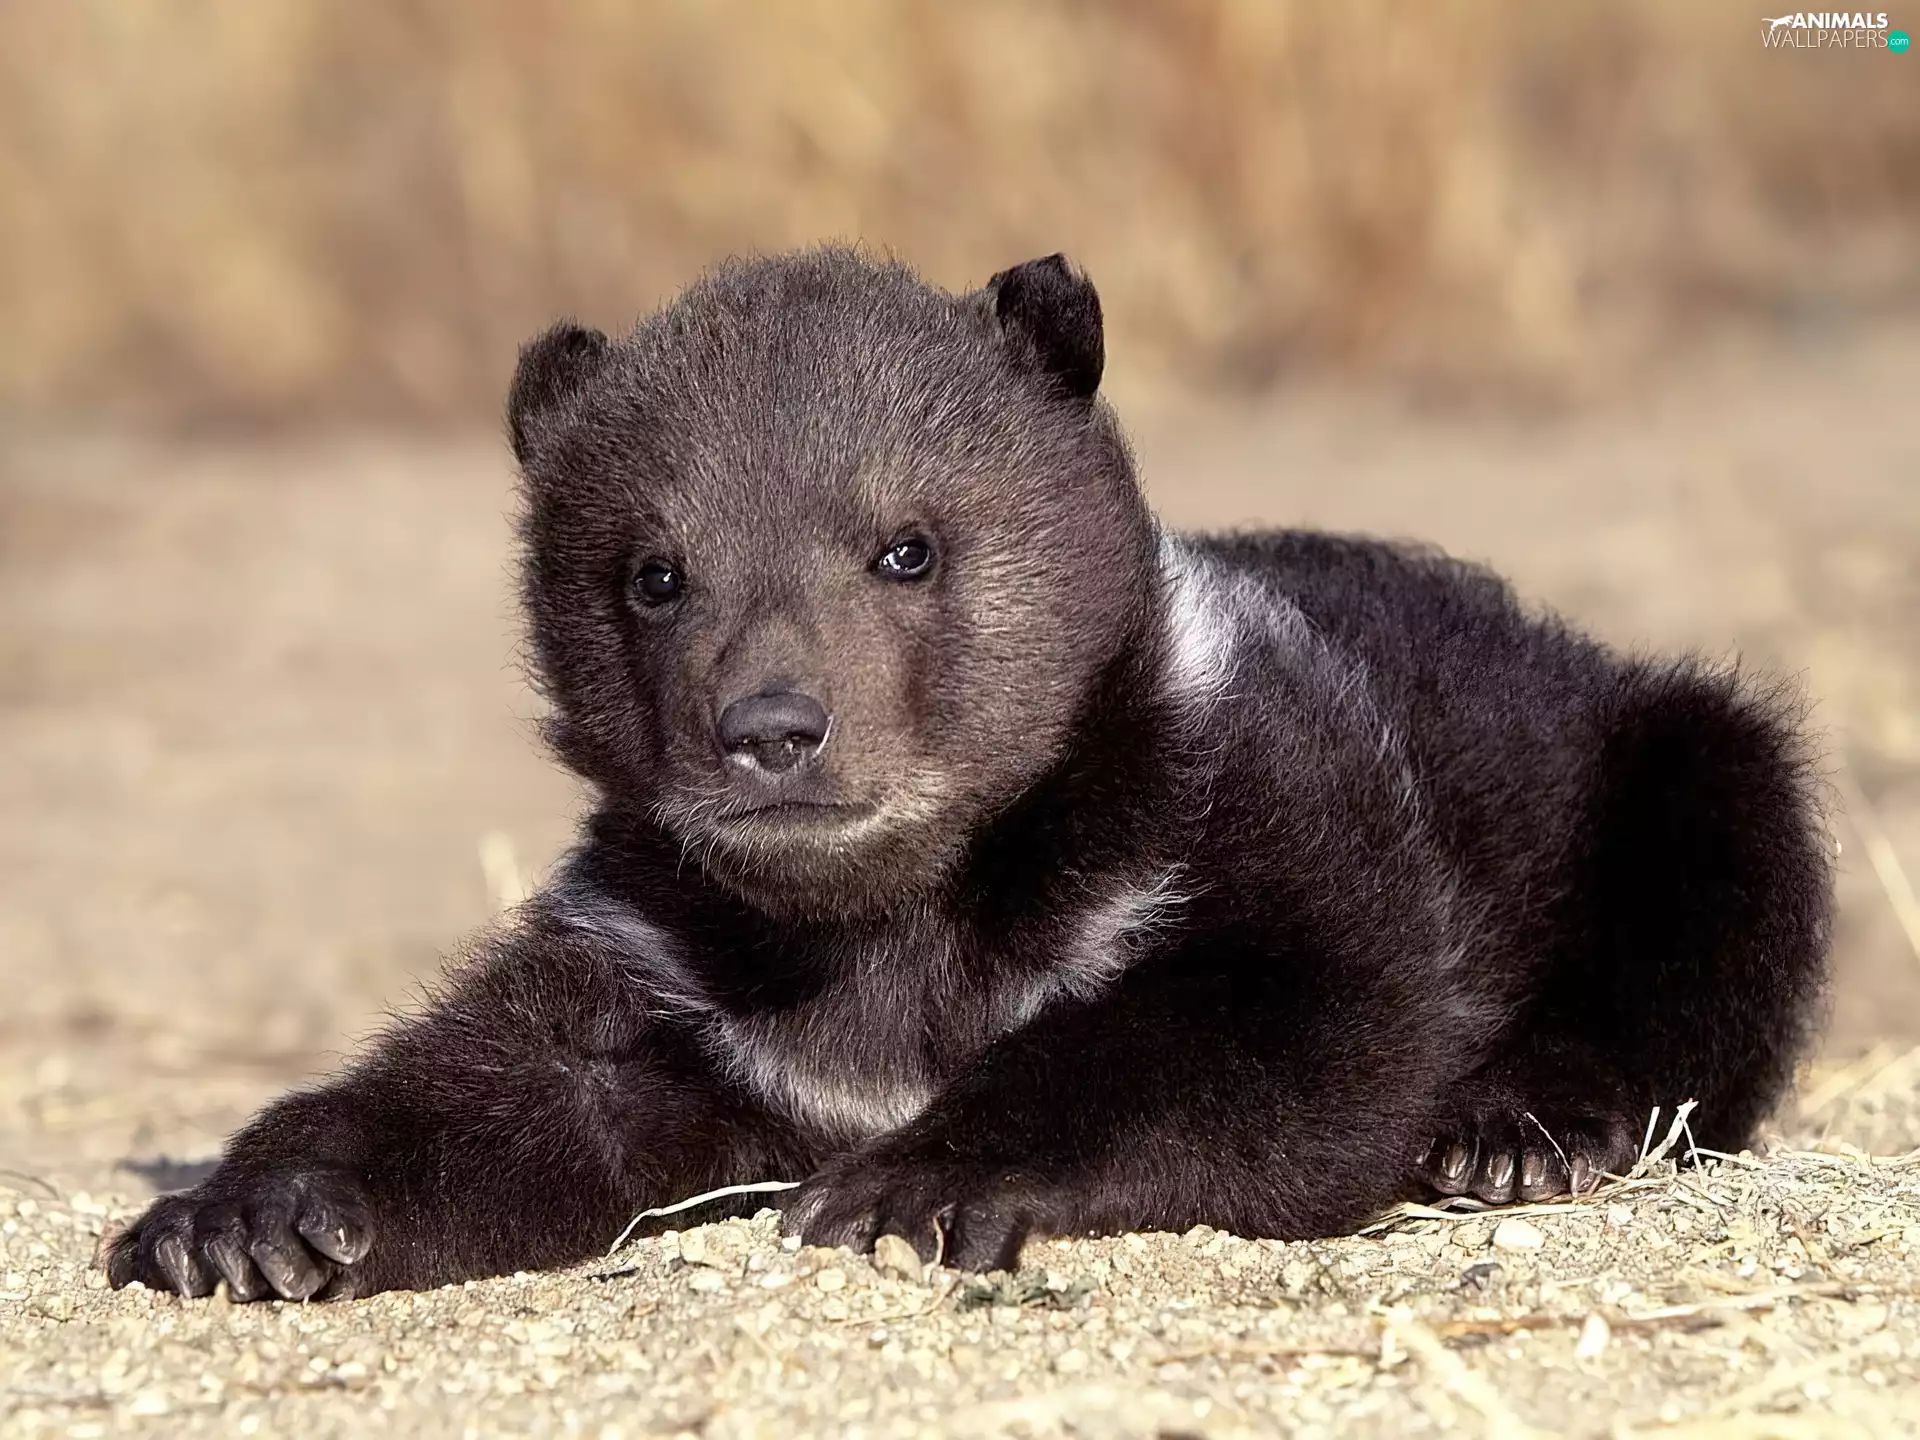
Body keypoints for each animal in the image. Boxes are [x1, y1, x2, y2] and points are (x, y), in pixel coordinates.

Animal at [105, 247, 1833, 1301]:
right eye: (654, 572)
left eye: (907, 546)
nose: (773, 728)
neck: (896, 917)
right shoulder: (675, 965)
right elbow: (512, 1086)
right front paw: (248, 1213)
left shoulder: (1267, 821)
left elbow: (1280, 1032)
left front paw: (908, 1183)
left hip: (1654, 757)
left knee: (1718, 894)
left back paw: (1518, 1126)